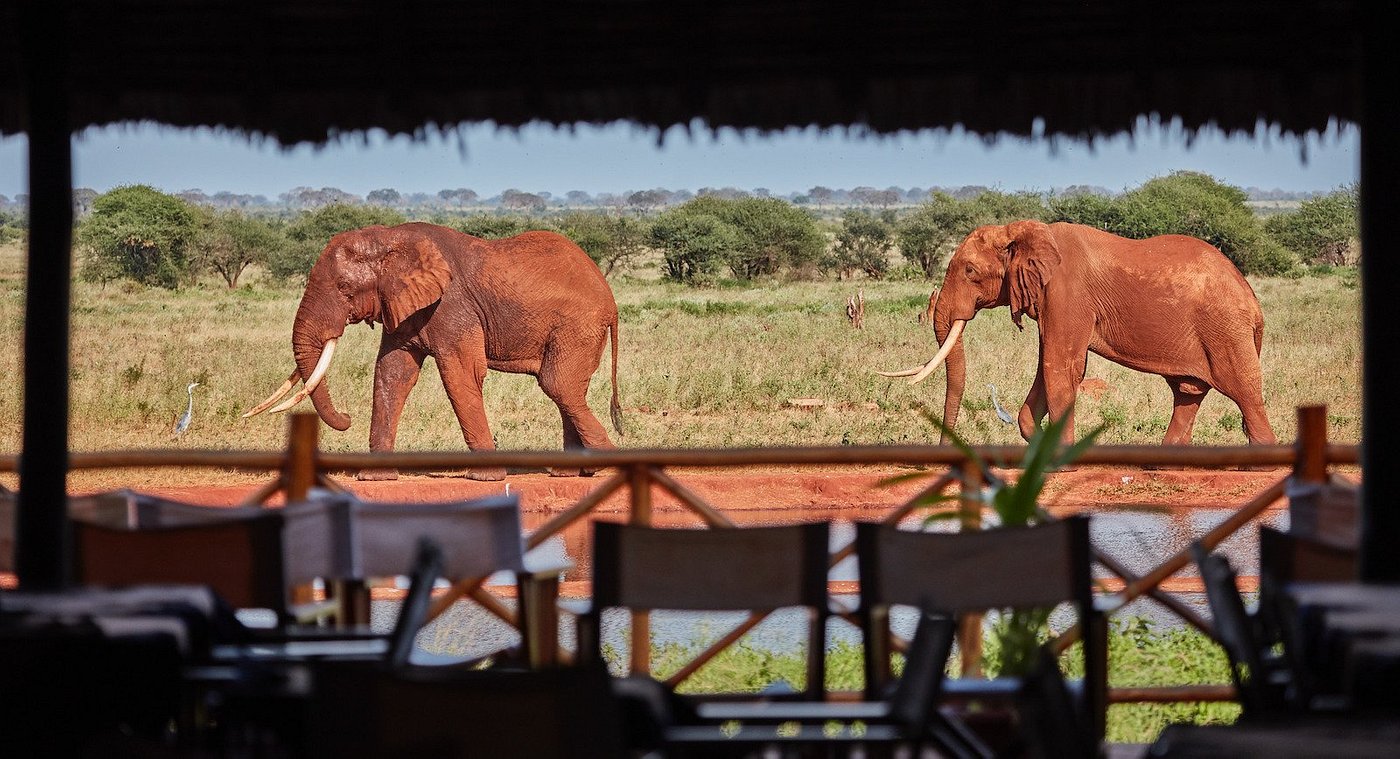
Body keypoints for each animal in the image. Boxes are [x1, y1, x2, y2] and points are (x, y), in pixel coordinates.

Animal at [244, 222, 623, 480]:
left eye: (345, 288)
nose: (347, 417)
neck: (390, 239)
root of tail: (610, 297)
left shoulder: (452, 308)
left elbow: (460, 374)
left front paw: (484, 478)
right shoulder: (402, 306)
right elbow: (392, 374)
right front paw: (374, 477)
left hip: (577, 327)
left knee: (558, 385)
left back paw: (603, 467)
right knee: (567, 389)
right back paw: (568, 473)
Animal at [880, 220, 1277, 447]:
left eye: (969, 271)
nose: (944, 445)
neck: (1020, 230)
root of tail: (1253, 301)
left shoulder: (1066, 294)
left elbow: (1060, 368)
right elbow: (1049, 368)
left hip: (1226, 331)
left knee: (1247, 398)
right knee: (1187, 396)